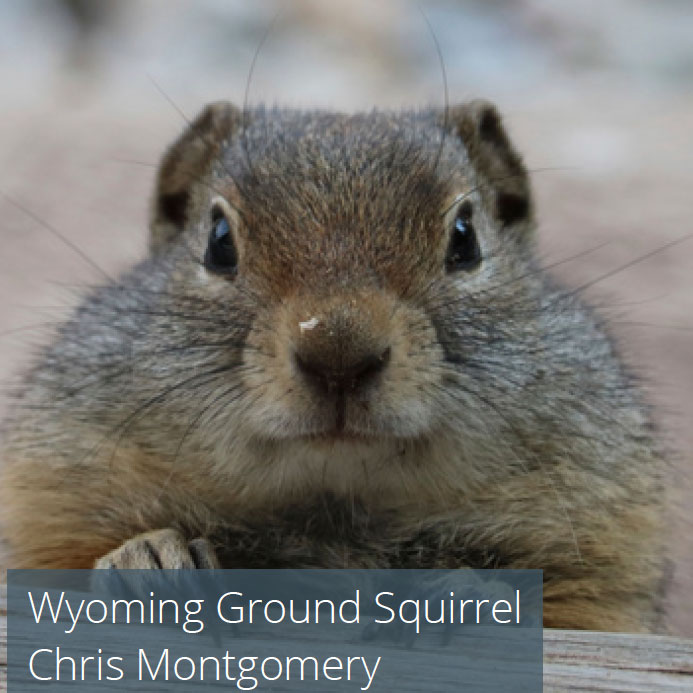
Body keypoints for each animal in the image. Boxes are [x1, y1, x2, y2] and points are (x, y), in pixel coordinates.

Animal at [0, 100, 664, 628]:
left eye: (466, 236)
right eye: (218, 240)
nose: (339, 355)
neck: (335, 516)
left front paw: (460, 591)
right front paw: (150, 559)